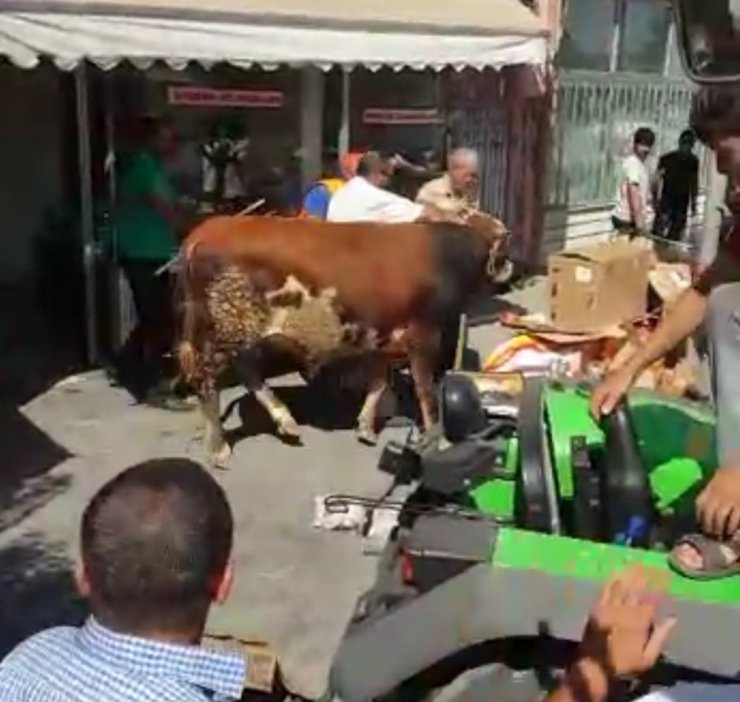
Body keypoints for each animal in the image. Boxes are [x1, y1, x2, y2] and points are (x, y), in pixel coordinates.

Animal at [175, 214, 508, 468]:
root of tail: (208, 228)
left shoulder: (382, 339)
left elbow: (379, 384)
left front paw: (366, 427)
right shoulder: (424, 336)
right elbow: (427, 392)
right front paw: (438, 440)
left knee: (247, 370)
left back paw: (285, 420)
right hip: (224, 330)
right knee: (207, 381)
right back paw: (218, 448)